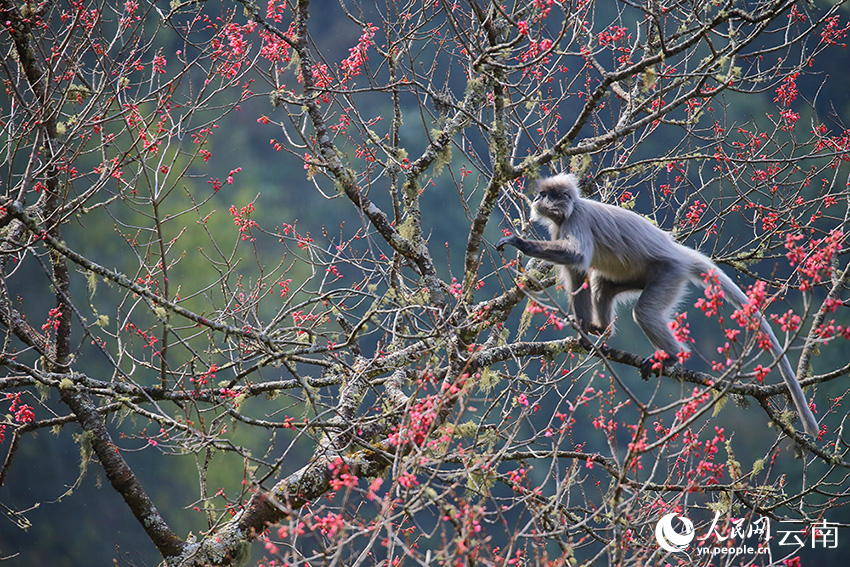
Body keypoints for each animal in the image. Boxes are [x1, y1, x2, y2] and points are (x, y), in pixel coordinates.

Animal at [496, 173, 819, 437]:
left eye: (546, 195)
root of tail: (677, 252)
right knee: (602, 284)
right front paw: (585, 329)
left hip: (669, 272)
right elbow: (579, 273)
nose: (537, 199)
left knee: (643, 311)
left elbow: (577, 258)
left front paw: (520, 243)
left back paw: (671, 357)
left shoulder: (577, 220)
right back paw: (603, 331)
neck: (570, 212)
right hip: (642, 275)